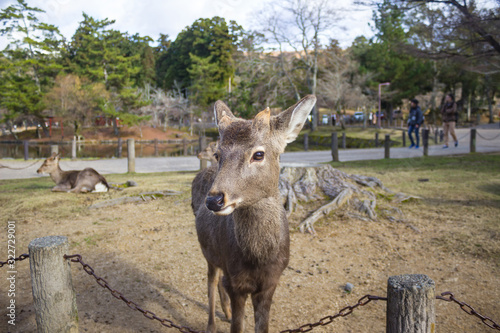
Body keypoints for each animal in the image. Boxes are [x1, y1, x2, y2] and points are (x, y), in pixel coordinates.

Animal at [191, 94, 316, 330]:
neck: (259, 258)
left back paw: (226, 312)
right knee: (211, 281)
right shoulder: (236, 282)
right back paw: (211, 325)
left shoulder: (270, 283)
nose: (214, 200)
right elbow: (237, 326)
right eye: (218, 154)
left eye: (258, 154)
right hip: (207, 250)